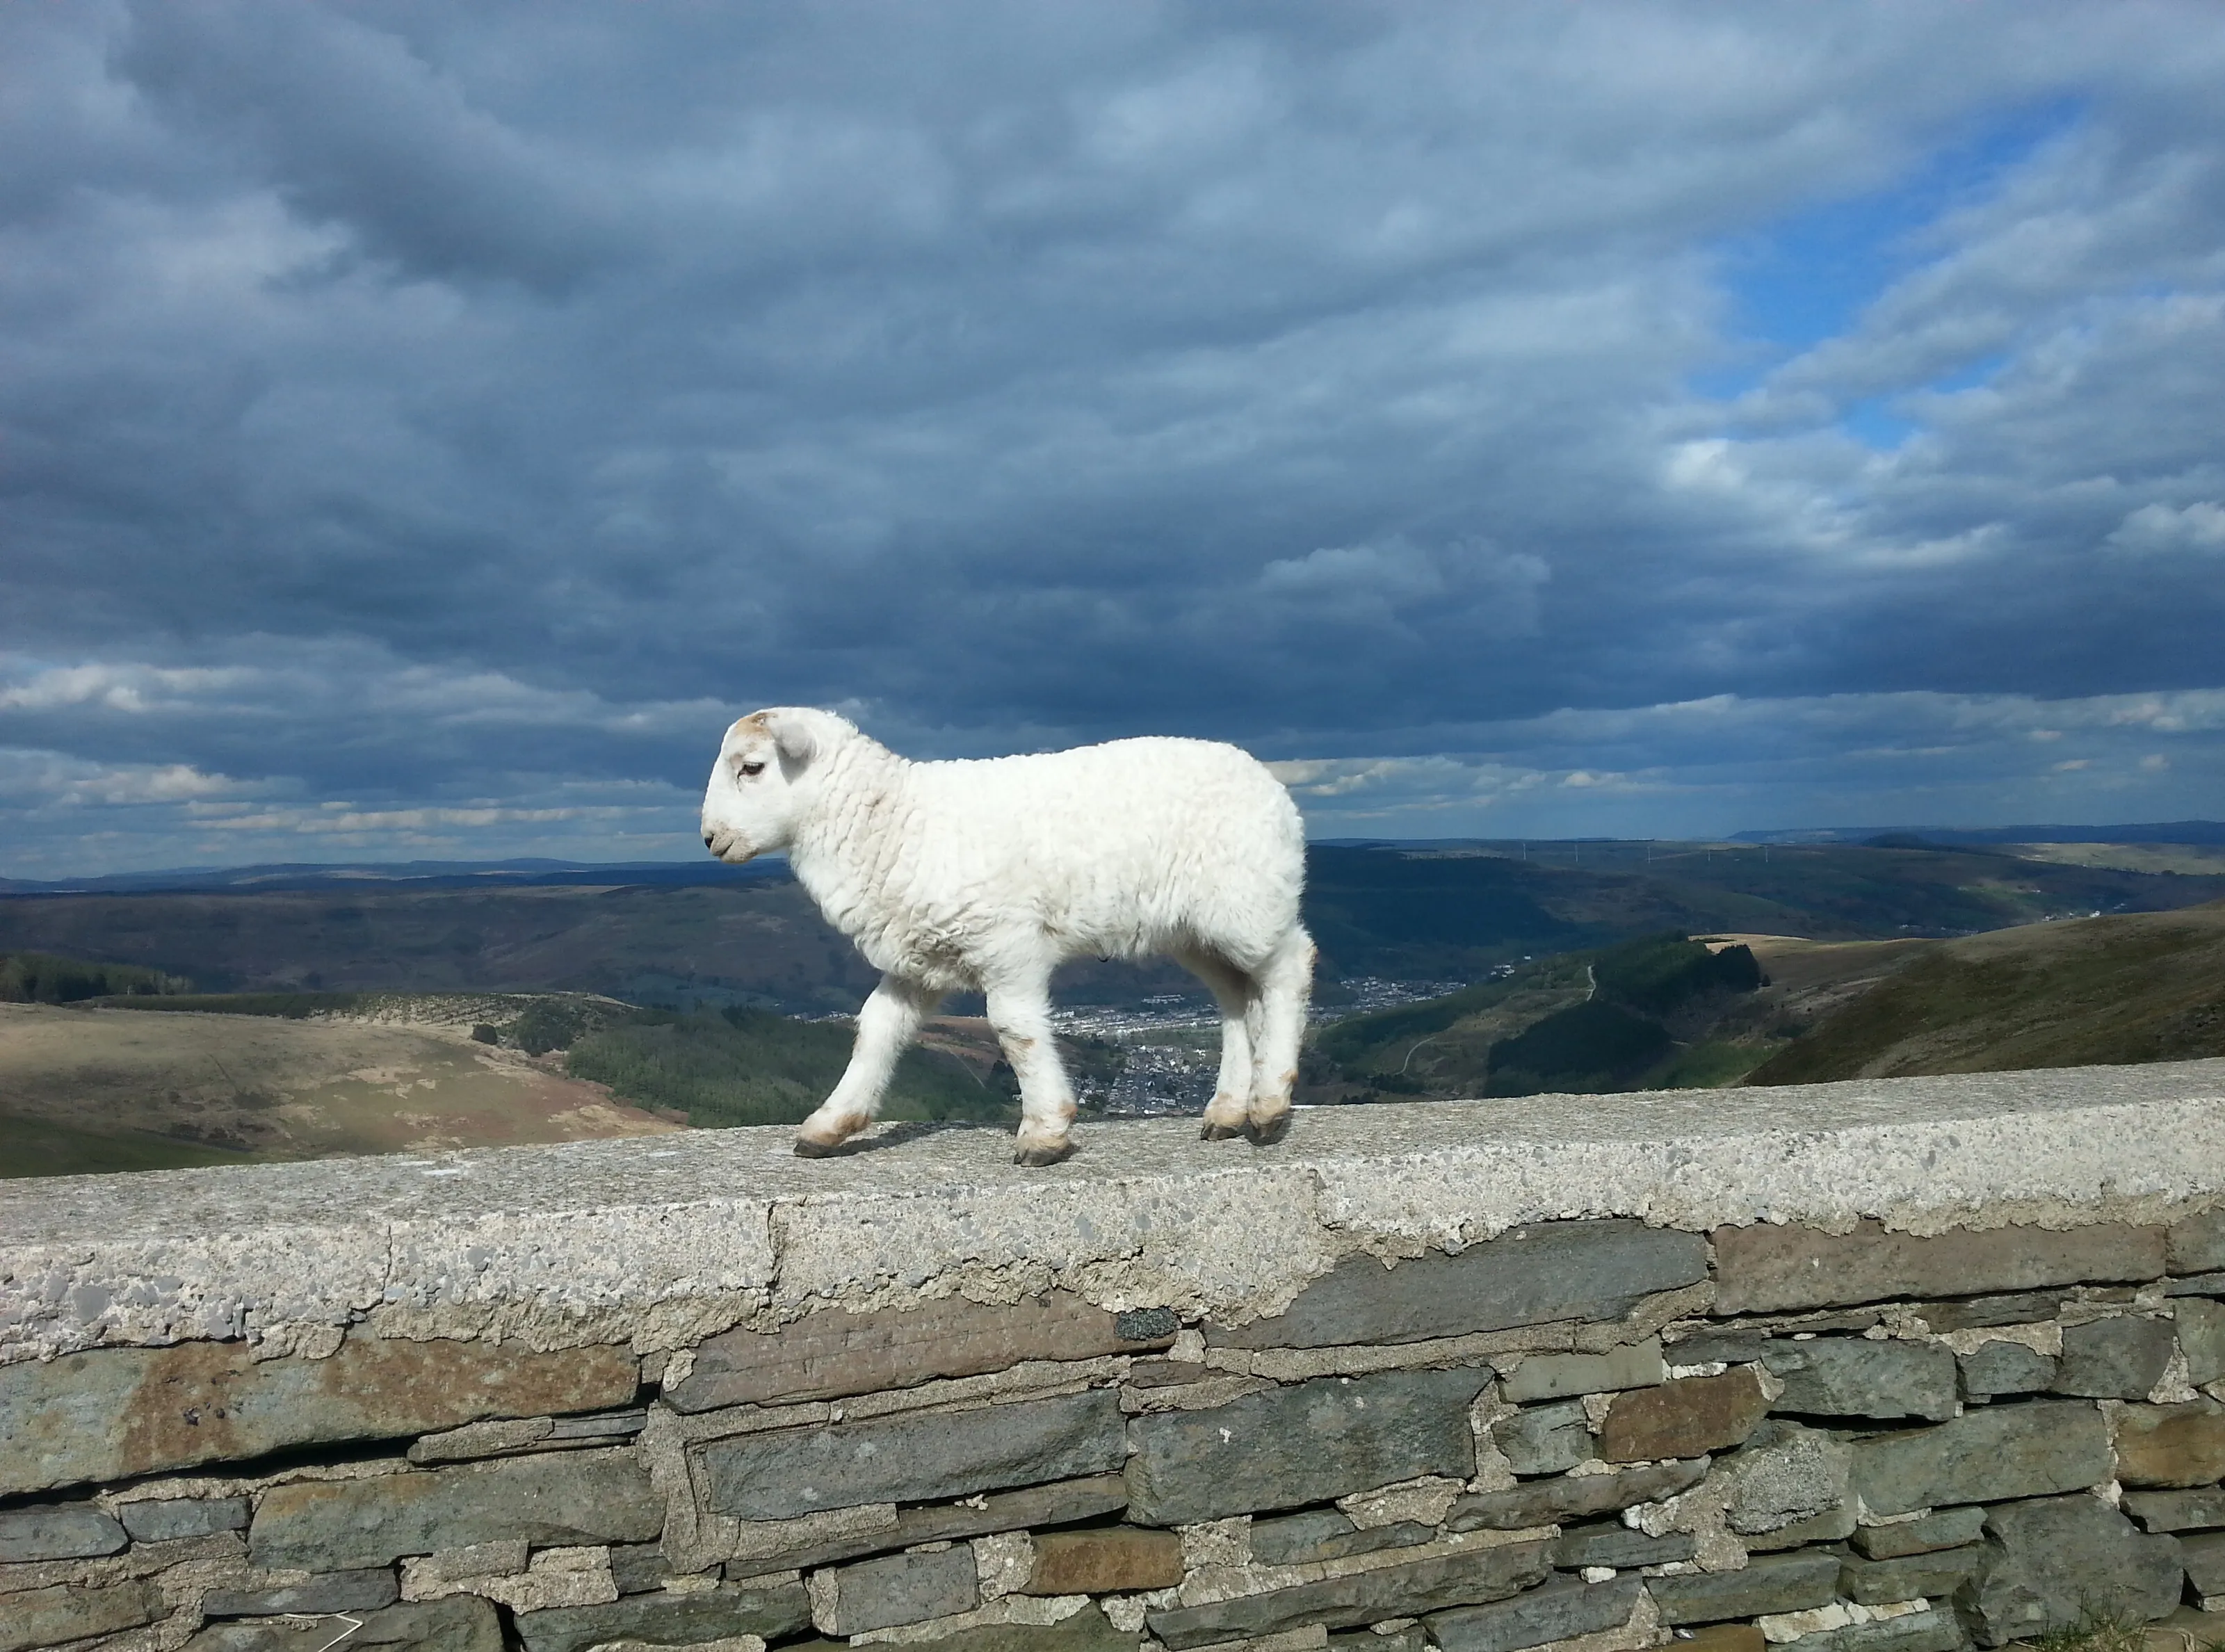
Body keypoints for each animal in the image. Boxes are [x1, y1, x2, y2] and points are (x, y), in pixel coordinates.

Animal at [701, 708, 1315, 1165]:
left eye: (752, 767)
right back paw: (1229, 1111)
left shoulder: (1007, 942)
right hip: (1196, 928)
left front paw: (1046, 1131)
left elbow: (1014, 1030)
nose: (709, 838)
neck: (892, 820)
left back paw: (1268, 1104)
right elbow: (876, 1030)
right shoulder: (916, 958)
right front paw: (830, 1126)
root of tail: (1269, 784)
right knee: (1236, 997)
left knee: (1289, 967)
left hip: (1246, 902)